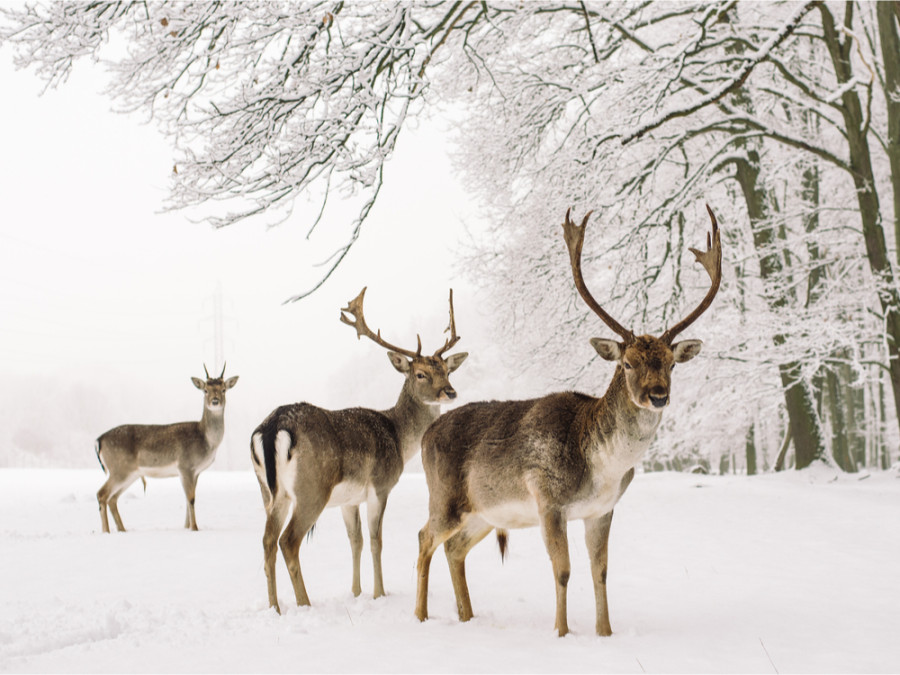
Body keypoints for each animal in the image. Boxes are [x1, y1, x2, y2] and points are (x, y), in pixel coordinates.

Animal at [95, 364, 239, 532]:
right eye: (205, 390)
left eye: (223, 389)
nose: (215, 401)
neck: (207, 441)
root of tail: (99, 440)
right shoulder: (185, 466)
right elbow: (191, 498)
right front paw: (194, 528)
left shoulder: (196, 471)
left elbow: (187, 499)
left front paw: (186, 527)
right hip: (119, 469)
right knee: (102, 494)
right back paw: (106, 531)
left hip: (130, 473)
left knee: (112, 498)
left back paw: (122, 530)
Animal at [250, 288, 468, 616]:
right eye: (419, 374)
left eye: (445, 370)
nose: (450, 391)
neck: (398, 437)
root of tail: (273, 426)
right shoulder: (380, 485)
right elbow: (377, 539)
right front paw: (379, 593)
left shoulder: (348, 499)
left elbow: (356, 540)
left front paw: (355, 592)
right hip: (312, 487)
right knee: (288, 541)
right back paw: (305, 603)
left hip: (270, 492)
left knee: (266, 539)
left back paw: (274, 607)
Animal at [416, 203, 724, 636]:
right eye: (628, 363)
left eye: (670, 363)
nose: (658, 395)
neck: (602, 467)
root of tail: (426, 434)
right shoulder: (549, 500)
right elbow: (562, 570)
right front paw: (562, 632)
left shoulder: (602, 510)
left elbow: (601, 571)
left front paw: (605, 632)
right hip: (444, 497)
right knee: (424, 537)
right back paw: (421, 615)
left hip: (483, 512)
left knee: (454, 547)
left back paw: (467, 616)